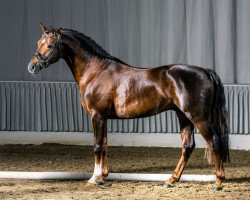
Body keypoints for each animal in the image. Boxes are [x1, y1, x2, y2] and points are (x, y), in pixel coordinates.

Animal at [27, 23, 230, 191]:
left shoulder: (97, 115)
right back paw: (171, 180)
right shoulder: (103, 118)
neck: (95, 71)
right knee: (187, 146)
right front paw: (103, 177)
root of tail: (205, 72)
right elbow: (105, 145)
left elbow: (97, 146)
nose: (32, 67)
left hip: (198, 117)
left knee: (214, 141)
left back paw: (218, 182)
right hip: (183, 116)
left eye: (50, 45)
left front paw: (94, 178)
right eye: (38, 42)